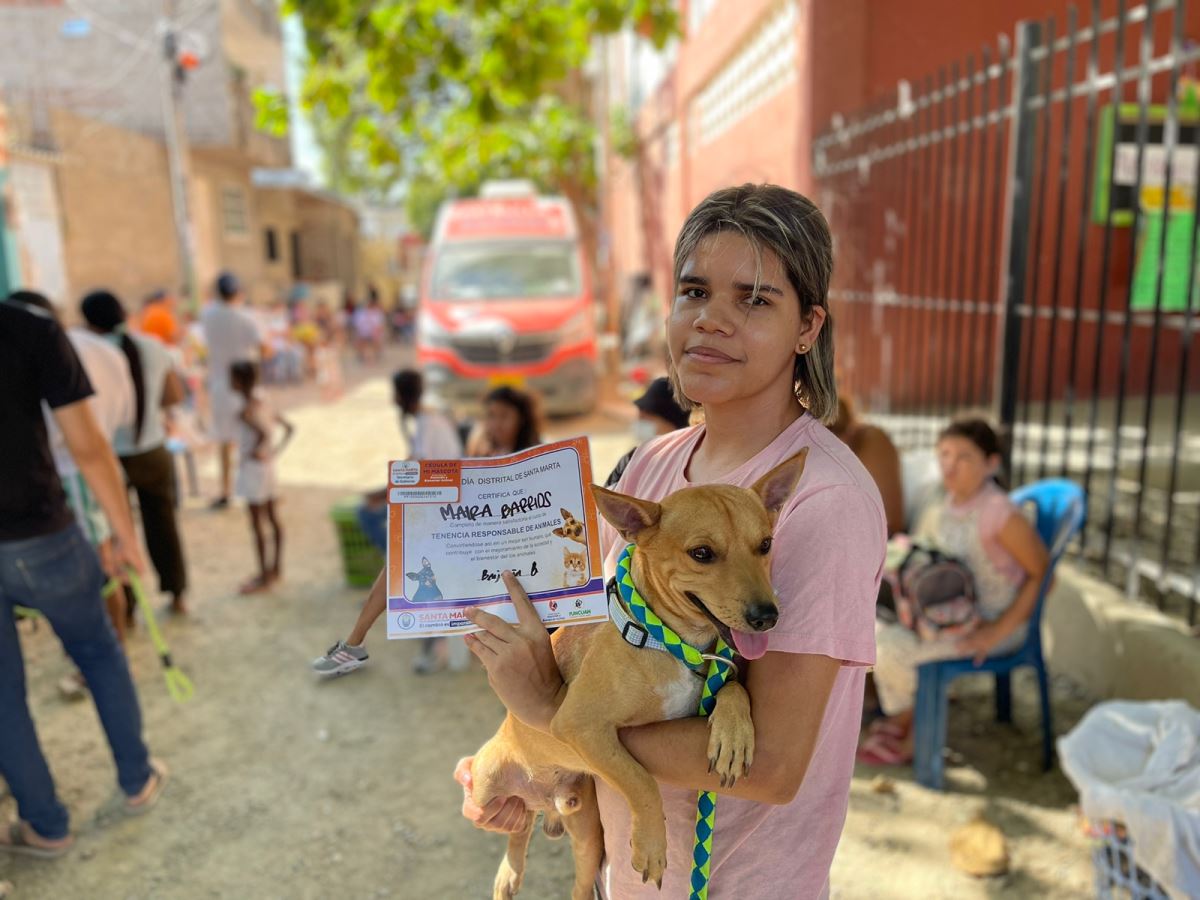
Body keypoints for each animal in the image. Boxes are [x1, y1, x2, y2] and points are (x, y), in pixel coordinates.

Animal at [465, 453, 806, 897]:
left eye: (765, 545)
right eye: (702, 553)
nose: (767, 617)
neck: (668, 641)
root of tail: (543, 797)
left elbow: (734, 688)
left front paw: (733, 736)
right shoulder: (578, 724)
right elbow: (640, 779)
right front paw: (652, 846)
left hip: (587, 833)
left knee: (553, 854)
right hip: (485, 787)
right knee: (516, 824)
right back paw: (509, 872)